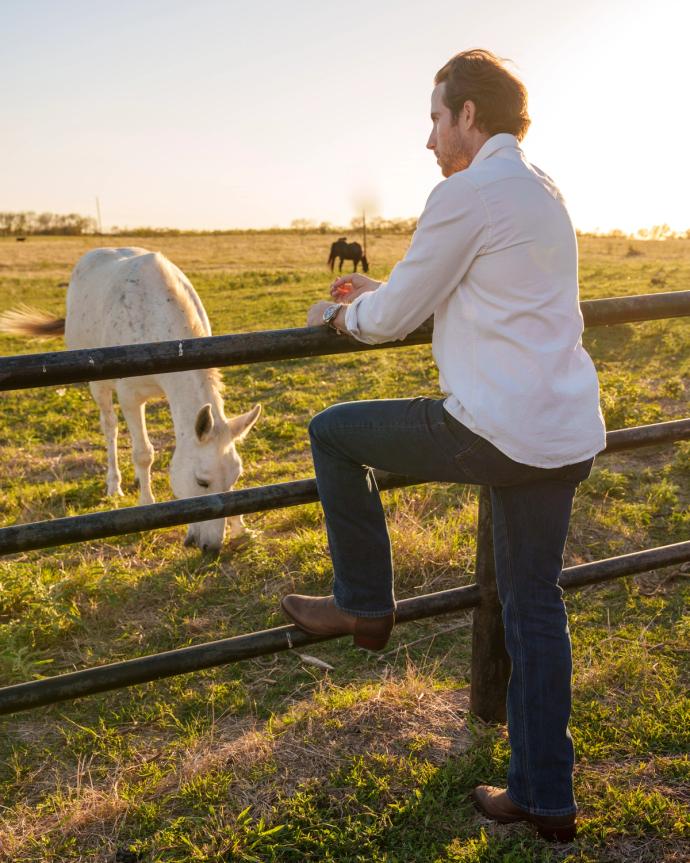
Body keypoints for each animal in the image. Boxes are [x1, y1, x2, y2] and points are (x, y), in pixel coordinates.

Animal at [1, 246, 260, 552]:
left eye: (234, 478)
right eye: (202, 482)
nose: (211, 546)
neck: (157, 319)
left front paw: (241, 528)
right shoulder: (130, 397)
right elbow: (143, 453)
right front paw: (147, 504)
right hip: (99, 385)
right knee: (110, 426)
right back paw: (114, 484)